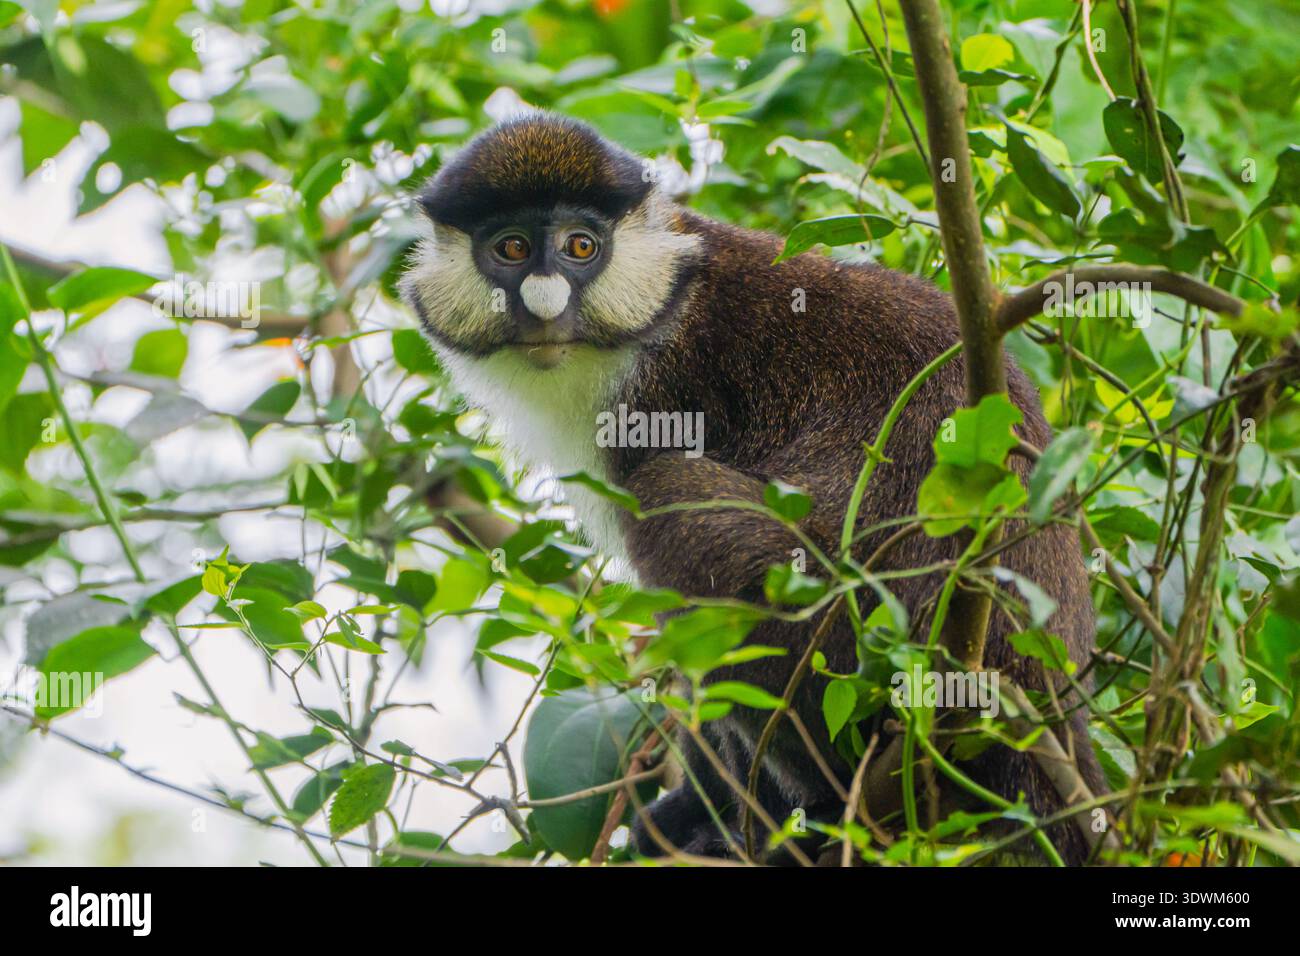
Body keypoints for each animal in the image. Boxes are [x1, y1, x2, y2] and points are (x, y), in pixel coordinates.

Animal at [400, 113, 1105, 865]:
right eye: (511, 248)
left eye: (580, 246)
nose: (543, 303)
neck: (662, 307)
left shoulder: (664, 402)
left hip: (857, 659)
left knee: (672, 500)